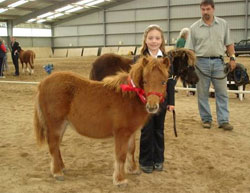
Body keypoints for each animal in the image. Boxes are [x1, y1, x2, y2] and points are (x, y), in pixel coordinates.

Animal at [33, 55, 170, 185]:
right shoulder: (121, 133)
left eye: (163, 82)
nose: (152, 107)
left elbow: (131, 150)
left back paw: (61, 167)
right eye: (145, 81)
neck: (129, 97)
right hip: (55, 125)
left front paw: (133, 169)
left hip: (63, 125)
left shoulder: (131, 132)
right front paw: (120, 180)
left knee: (56, 146)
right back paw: (57, 172)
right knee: (53, 145)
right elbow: (121, 155)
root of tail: (42, 83)